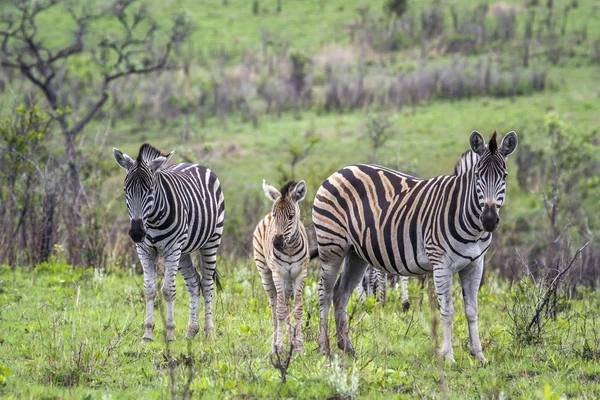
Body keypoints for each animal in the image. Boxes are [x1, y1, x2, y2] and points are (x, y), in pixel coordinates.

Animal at [112, 144, 225, 340]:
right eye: (126, 189)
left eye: (150, 189)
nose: (136, 232)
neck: (152, 220)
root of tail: (195, 165)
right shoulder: (144, 250)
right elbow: (149, 289)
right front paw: (148, 332)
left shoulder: (172, 249)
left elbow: (167, 290)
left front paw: (170, 332)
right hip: (184, 251)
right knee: (194, 283)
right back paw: (191, 331)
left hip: (211, 241)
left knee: (206, 285)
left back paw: (209, 332)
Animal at [252, 180, 310, 354]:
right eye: (276, 216)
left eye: (291, 216)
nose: (277, 243)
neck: (289, 248)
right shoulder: (278, 274)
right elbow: (280, 311)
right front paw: (279, 347)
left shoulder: (300, 273)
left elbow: (297, 309)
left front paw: (298, 347)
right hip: (265, 273)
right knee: (274, 306)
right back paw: (275, 345)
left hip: (289, 280)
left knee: (285, 303)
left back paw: (290, 341)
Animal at [314, 130, 516, 360]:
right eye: (477, 176)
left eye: (504, 176)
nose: (489, 220)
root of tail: (340, 171)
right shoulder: (441, 264)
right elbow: (447, 311)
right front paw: (448, 356)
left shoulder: (475, 264)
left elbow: (472, 311)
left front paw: (479, 355)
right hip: (331, 246)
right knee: (325, 293)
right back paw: (324, 349)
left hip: (356, 253)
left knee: (341, 294)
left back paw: (347, 348)